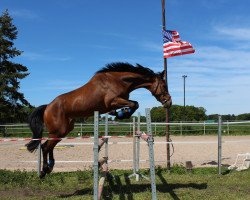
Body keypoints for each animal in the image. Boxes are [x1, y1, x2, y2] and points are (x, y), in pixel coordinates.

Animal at [25, 61, 172, 177]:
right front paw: (122, 114)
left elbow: (134, 104)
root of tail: (48, 106)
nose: (169, 102)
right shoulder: (113, 101)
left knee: (49, 147)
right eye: (164, 86)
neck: (120, 81)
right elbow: (134, 104)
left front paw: (120, 113)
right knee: (45, 147)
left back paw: (50, 166)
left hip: (63, 130)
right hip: (58, 131)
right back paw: (44, 171)